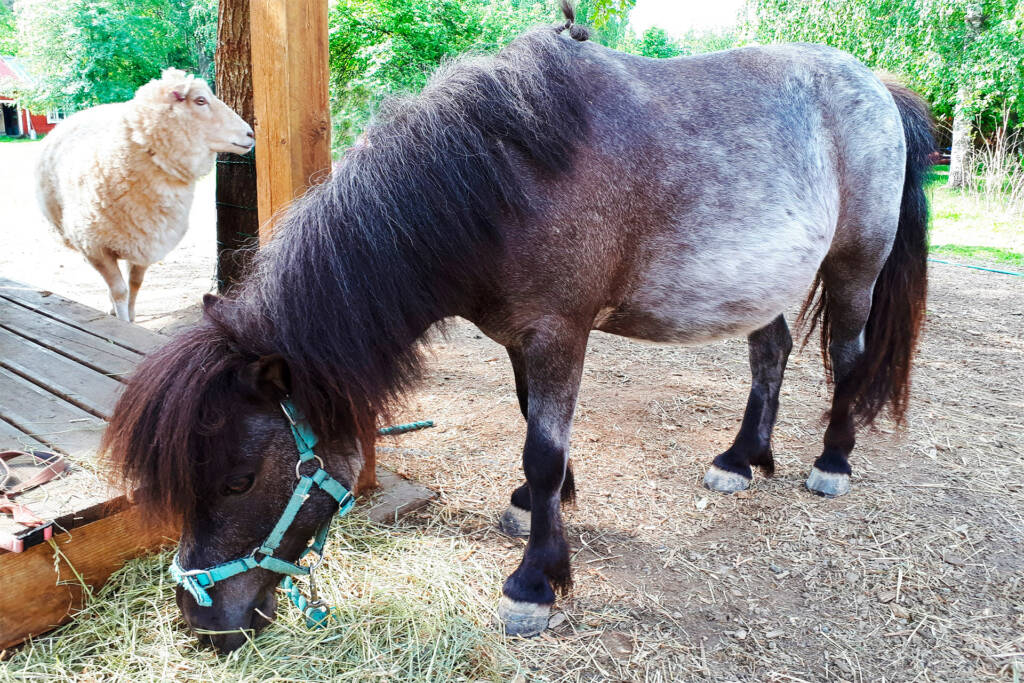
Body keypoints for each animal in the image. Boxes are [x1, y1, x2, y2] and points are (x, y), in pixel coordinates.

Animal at [36, 68, 253, 323]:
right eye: (200, 101)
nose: (250, 133)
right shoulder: (95, 247)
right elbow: (120, 290)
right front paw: (123, 321)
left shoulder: (145, 243)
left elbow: (135, 285)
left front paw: (130, 317)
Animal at [99, 6, 933, 655]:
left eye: (240, 478)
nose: (203, 624)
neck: (505, 177)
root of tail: (877, 87)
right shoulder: (518, 340)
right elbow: (533, 426)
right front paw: (540, 508)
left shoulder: (560, 332)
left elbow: (543, 445)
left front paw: (535, 582)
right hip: (764, 287)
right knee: (772, 354)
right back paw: (741, 458)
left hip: (854, 269)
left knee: (849, 361)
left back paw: (831, 460)